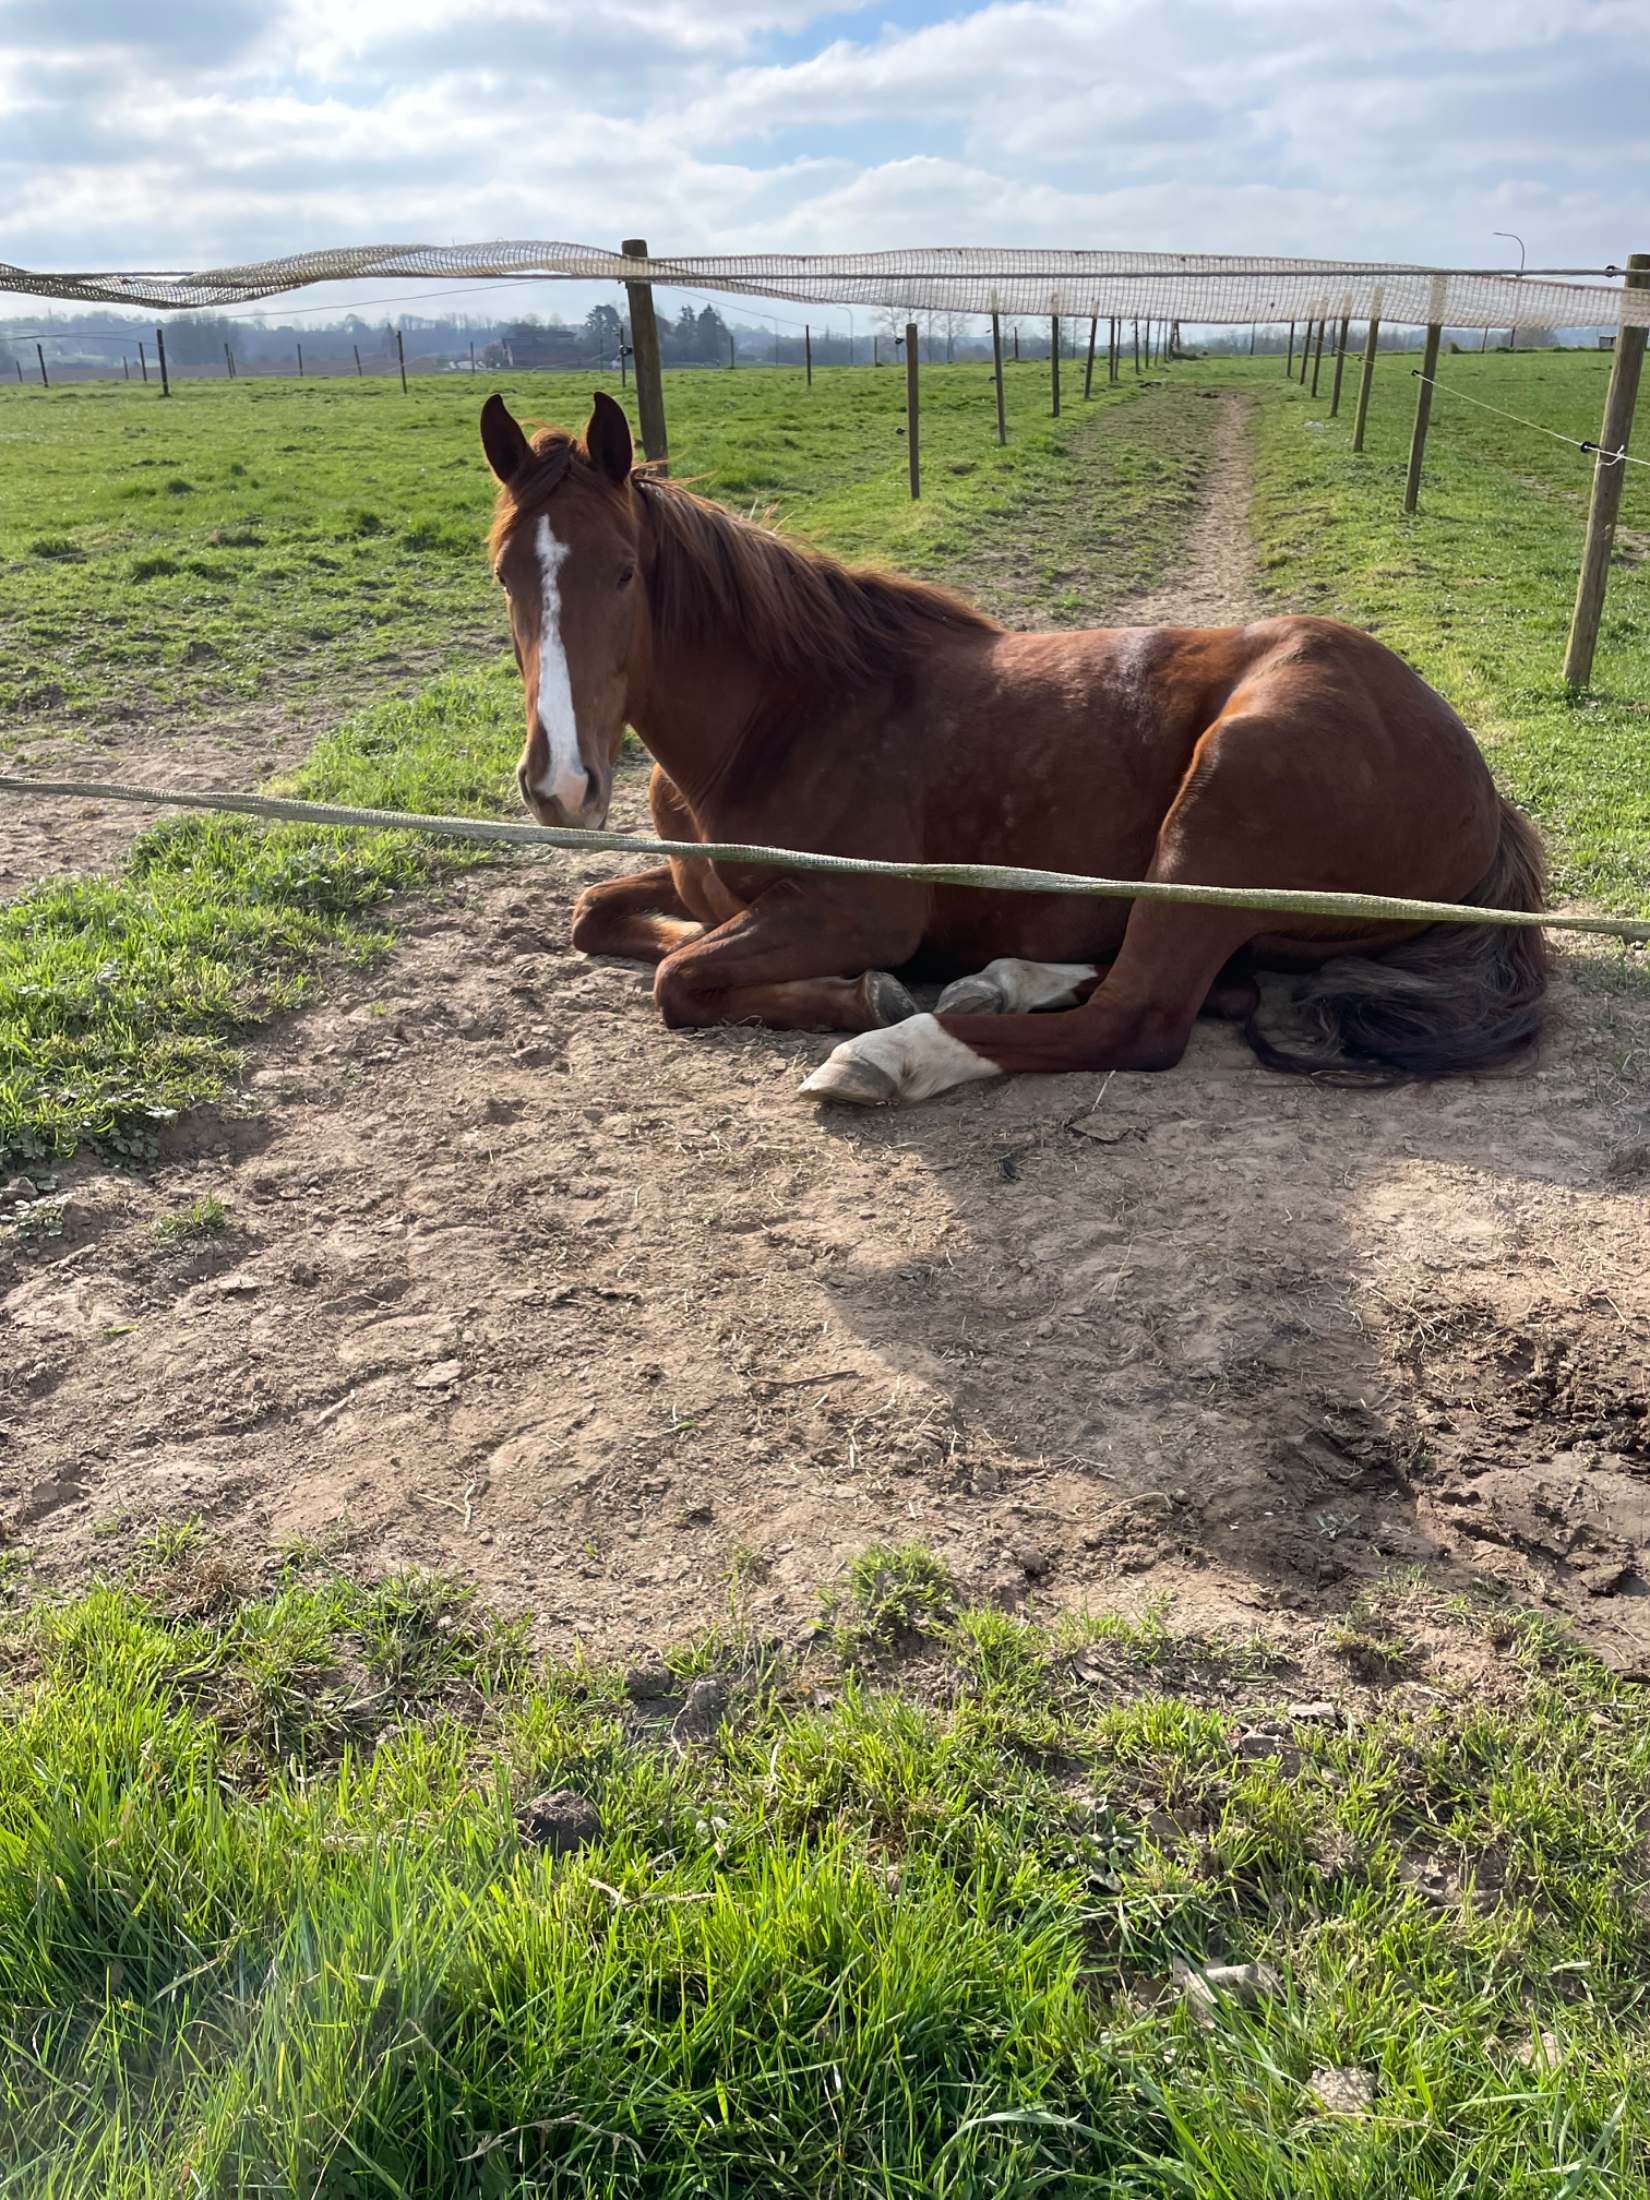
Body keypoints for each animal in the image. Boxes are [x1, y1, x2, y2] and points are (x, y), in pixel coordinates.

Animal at [480, 390, 1546, 1108]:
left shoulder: (857, 908)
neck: (782, 719)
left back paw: (895, 1055)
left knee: (1144, 1016)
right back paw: (1005, 982)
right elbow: (602, 918)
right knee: (1214, 985)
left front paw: (863, 1001)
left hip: (1222, 807)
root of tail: (1484, 793)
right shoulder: (694, 879)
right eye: (502, 574)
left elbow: (683, 977)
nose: (561, 784)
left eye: (624, 572)